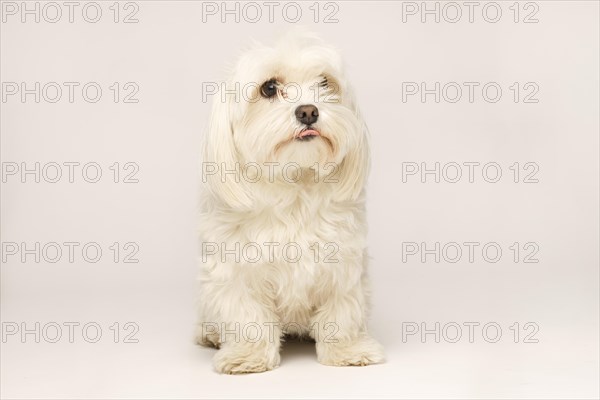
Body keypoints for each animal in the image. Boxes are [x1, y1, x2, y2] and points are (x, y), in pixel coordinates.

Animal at [197, 32, 384, 376]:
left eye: (325, 83)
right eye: (269, 88)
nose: (308, 111)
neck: (295, 184)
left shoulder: (344, 265)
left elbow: (343, 311)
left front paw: (349, 349)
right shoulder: (235, 271)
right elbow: (247, 316)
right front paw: (248, 354)